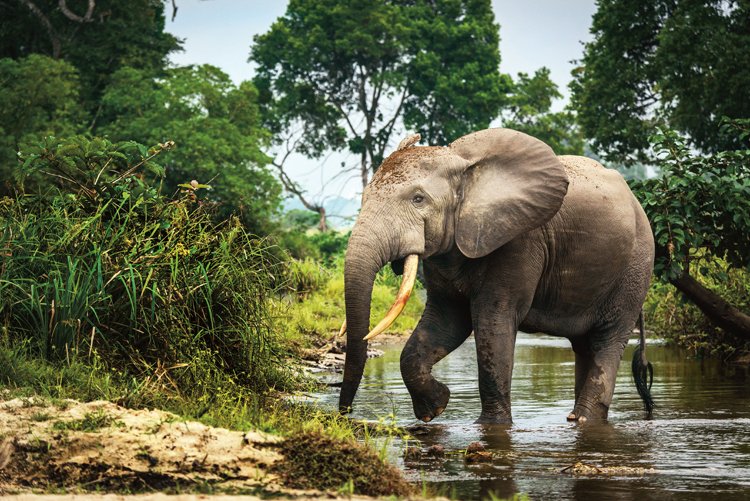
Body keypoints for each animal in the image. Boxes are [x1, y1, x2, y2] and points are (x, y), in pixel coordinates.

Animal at [338, 128, 656, 422]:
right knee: (584, 345)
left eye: (418, 199)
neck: (463, 165)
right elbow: (446, 321)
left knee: (607, 340)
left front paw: (491, 426)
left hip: (635, 268)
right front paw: (435, 407)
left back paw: (584, 419)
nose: (344, 416)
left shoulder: (519, 240)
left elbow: (493, 322)